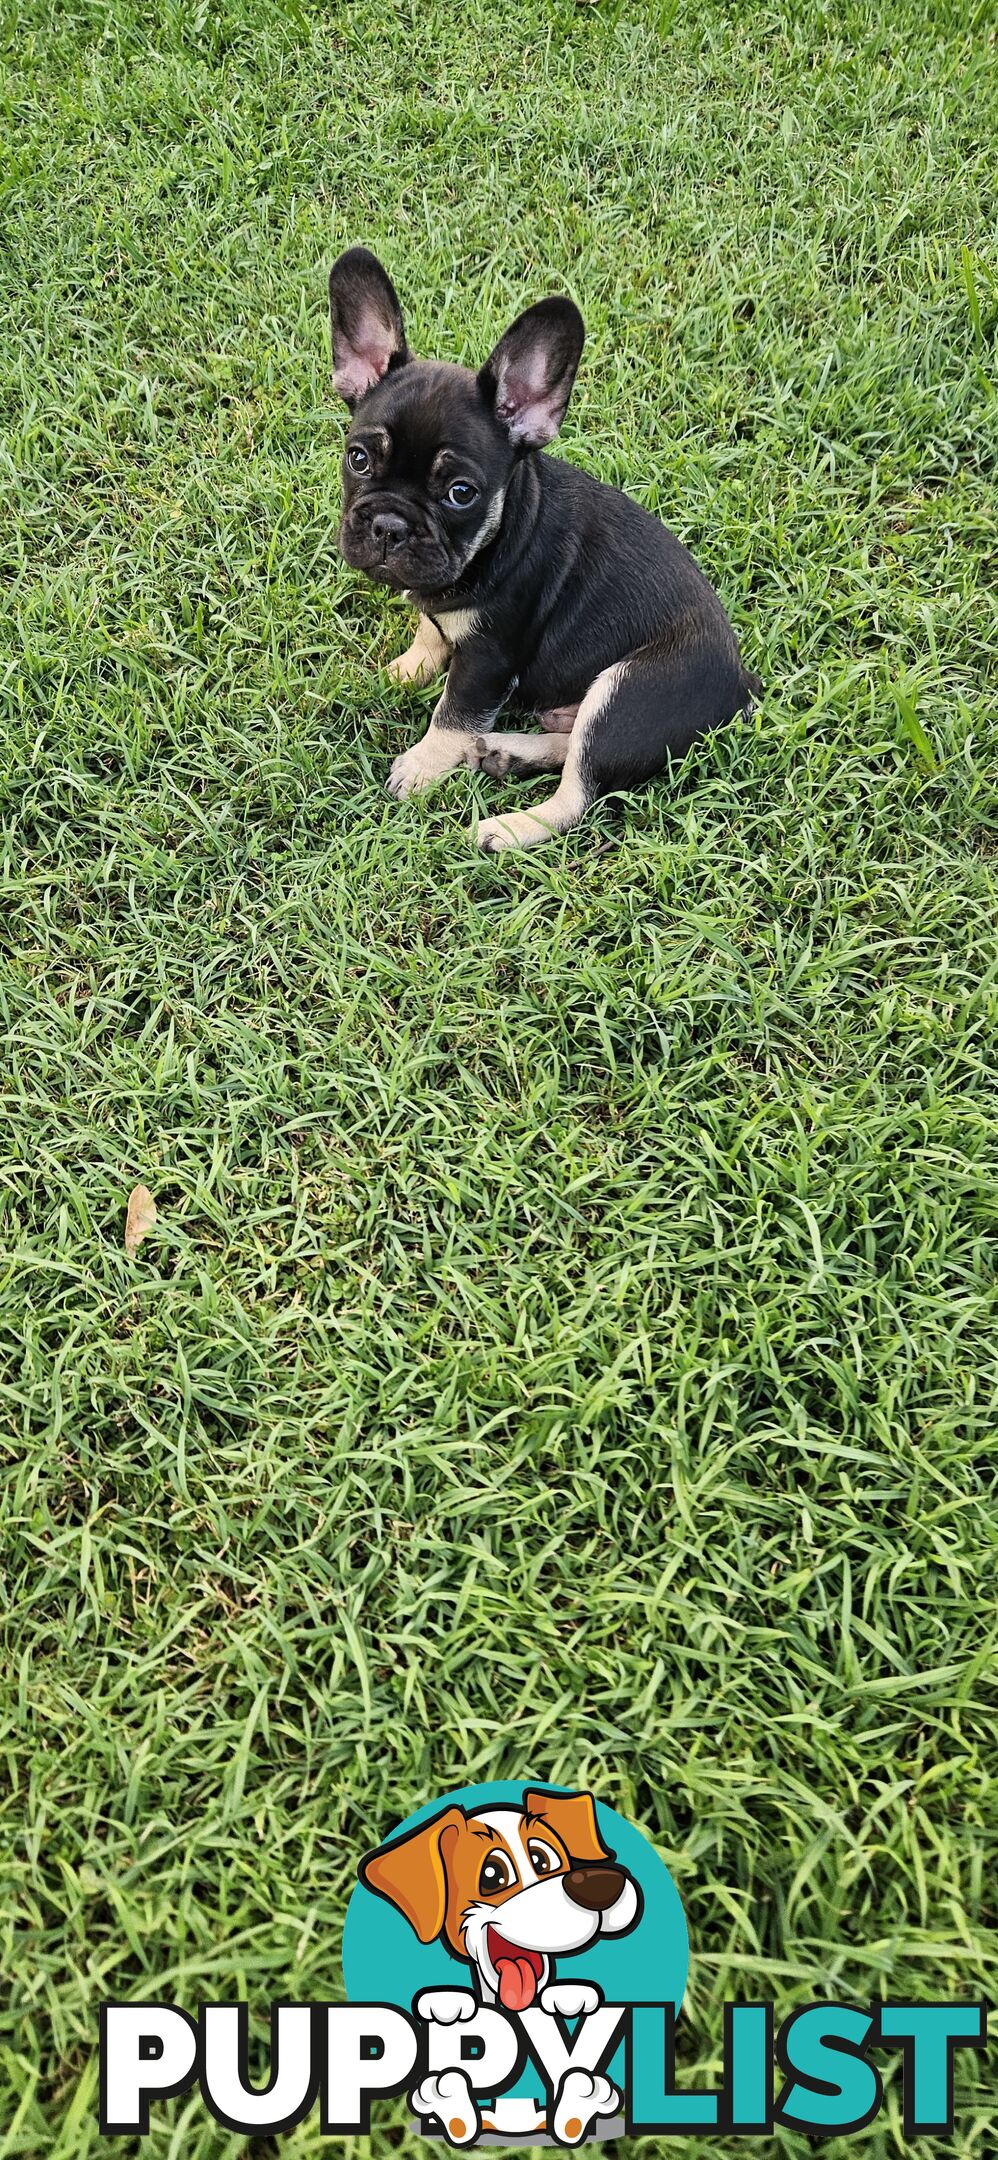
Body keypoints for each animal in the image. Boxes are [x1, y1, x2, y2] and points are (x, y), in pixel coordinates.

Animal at [330, 250, 760, 851]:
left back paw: (507, 826)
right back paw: (507, 751)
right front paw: (408, 667)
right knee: (573, 747)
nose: (390, 525)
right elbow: (430, 631)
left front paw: (421, 766)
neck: (493, 540)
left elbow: (453, 714)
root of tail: (741, 688)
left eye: (460, 493)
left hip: (625, 694)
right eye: (359, 459)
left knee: (579, 794)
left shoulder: (488, 659)